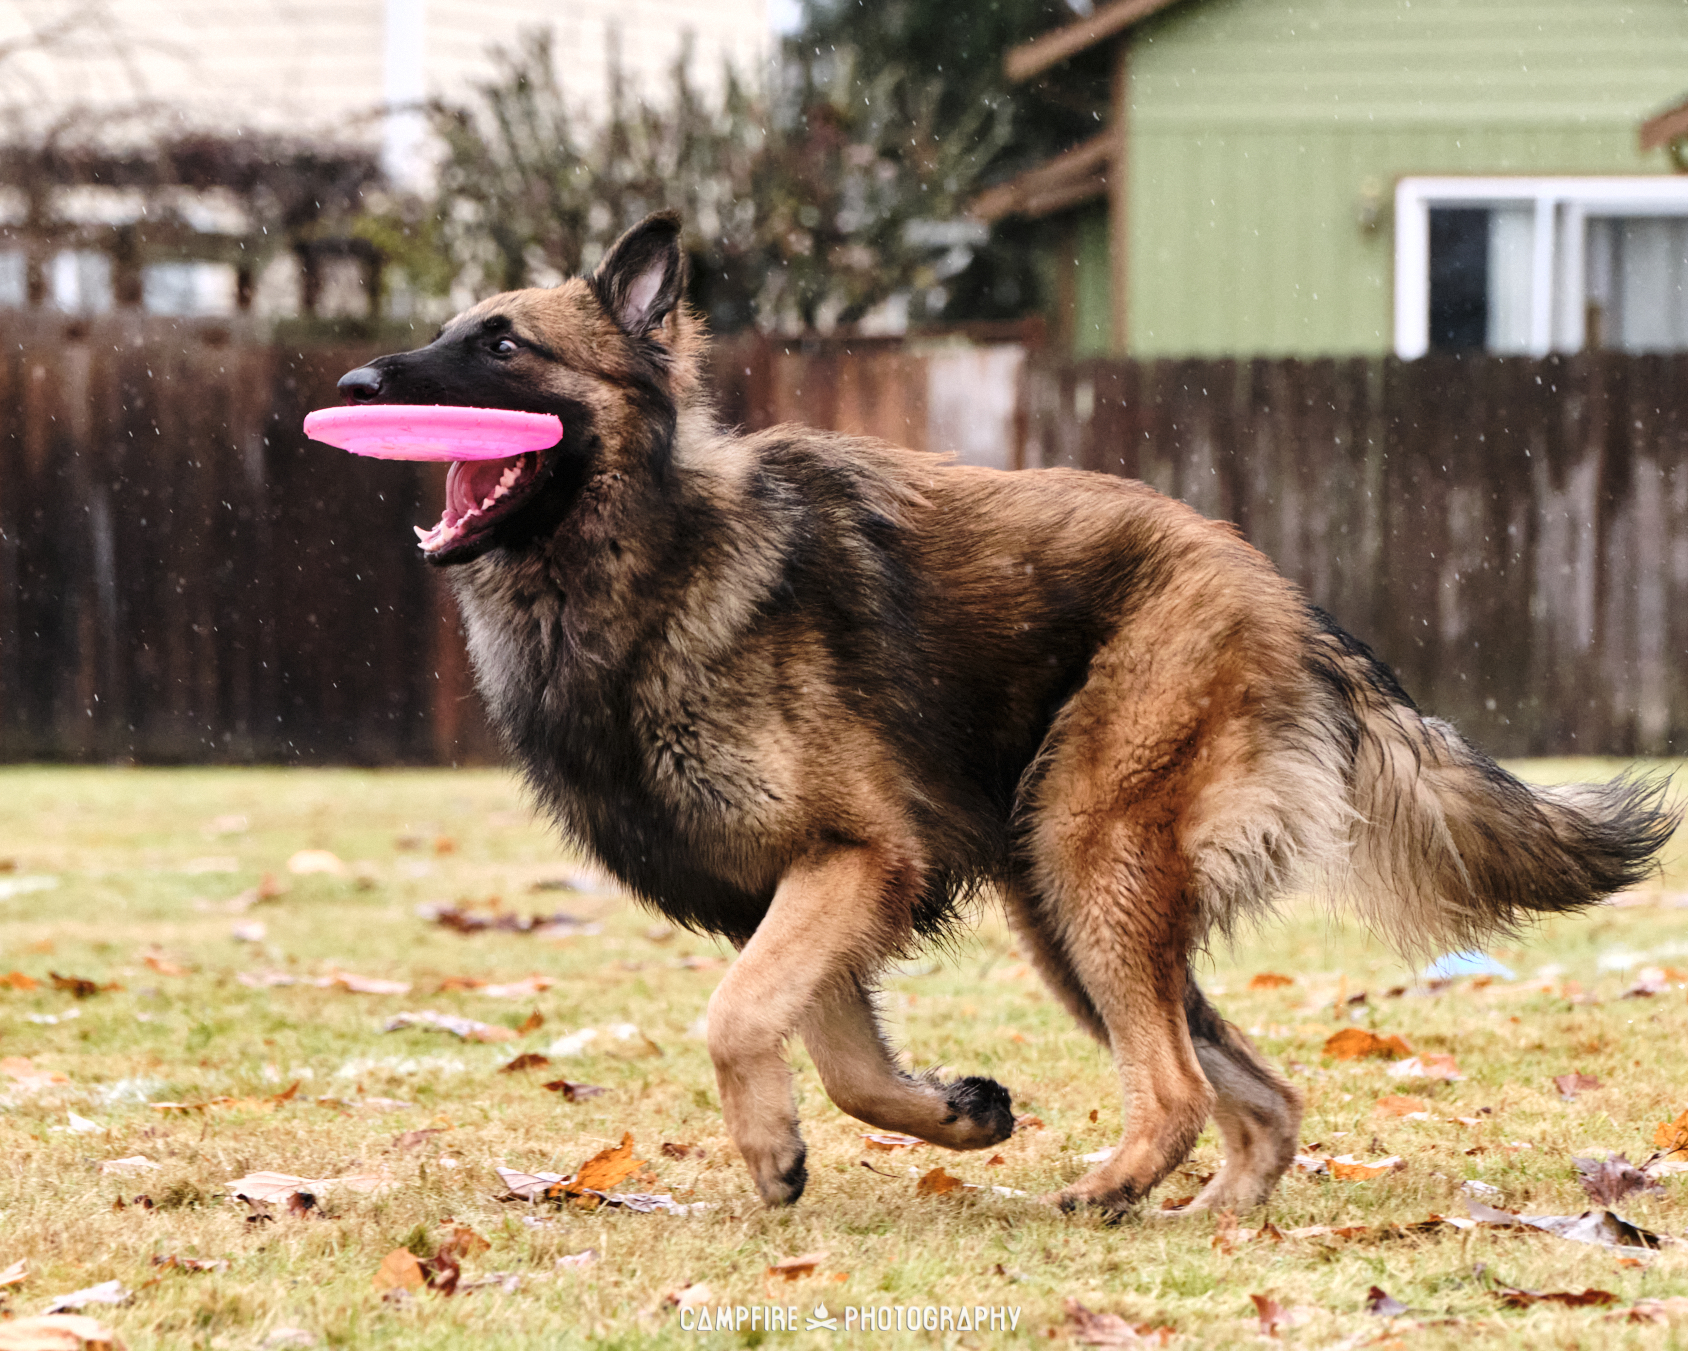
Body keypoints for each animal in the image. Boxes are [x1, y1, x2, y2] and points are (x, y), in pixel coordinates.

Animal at [335, 211, 1681, 1215]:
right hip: (1067, 907)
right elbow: (836, 1053)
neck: (653, 562)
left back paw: (1109, 1193)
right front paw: (945, 1113)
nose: (353, 382)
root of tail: (1287, 598)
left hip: (1086, 863)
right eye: (449, 329)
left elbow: (737, 1017)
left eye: (502, 344)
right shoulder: (806, 882)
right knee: (1258, 1097)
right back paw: (1206, 1211)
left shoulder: (856, 857)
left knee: (1179, 1086)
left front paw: (773, 1149)